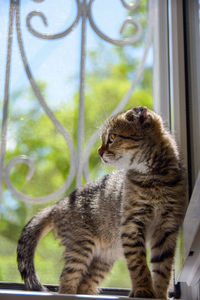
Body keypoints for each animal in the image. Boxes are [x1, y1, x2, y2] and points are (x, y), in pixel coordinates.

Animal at [16, 106, 186, 298]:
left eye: (112, 137)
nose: (99, 151)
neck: (154, 178)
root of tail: (58, 204)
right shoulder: (131, 225)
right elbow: (138, 264)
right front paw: (143, 289)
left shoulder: (166, 228)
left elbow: (162, 269)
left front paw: (160, 295)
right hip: (81, 246)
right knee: (66, 280)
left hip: (103, 259)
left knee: (84, 284)